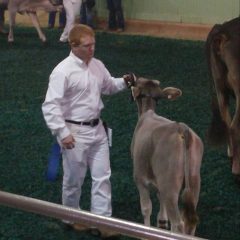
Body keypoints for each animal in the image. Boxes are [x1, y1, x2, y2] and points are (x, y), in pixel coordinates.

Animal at [130, 78, 203, 235]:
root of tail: (181, 127)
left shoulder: (140, 179)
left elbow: (146, 208)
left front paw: (145, 231)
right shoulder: (158, 181)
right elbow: (159, 197)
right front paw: (162, 221)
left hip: (170, 185)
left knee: (178, 223)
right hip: (194, 181)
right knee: (191, 221)